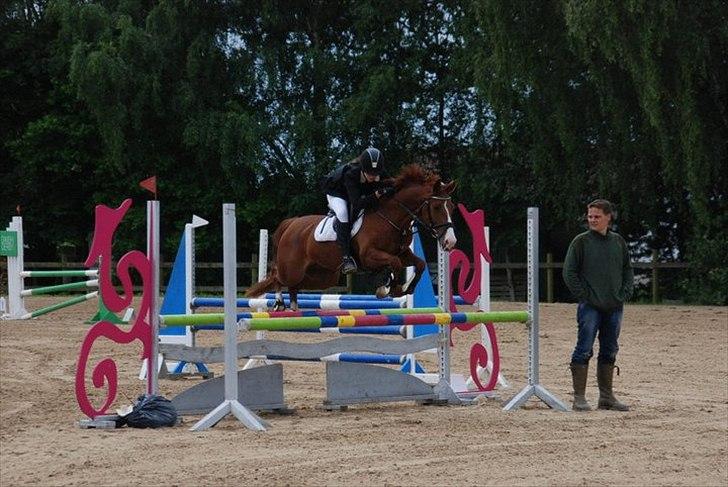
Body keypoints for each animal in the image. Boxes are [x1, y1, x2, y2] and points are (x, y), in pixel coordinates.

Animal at [246, 164, 457, 310]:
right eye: (436, 207)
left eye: (452, 207)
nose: (450, 242)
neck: (390, 217)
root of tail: (291, 225)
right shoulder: (369, 256)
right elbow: (395, 263)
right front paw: (392, 288)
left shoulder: (403, 253)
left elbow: (419, 264)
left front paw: (403, 288)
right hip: (293, 269)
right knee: (277, 277)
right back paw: (279, 303)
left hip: (322, 277)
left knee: (293, 287)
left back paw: (293, 308)